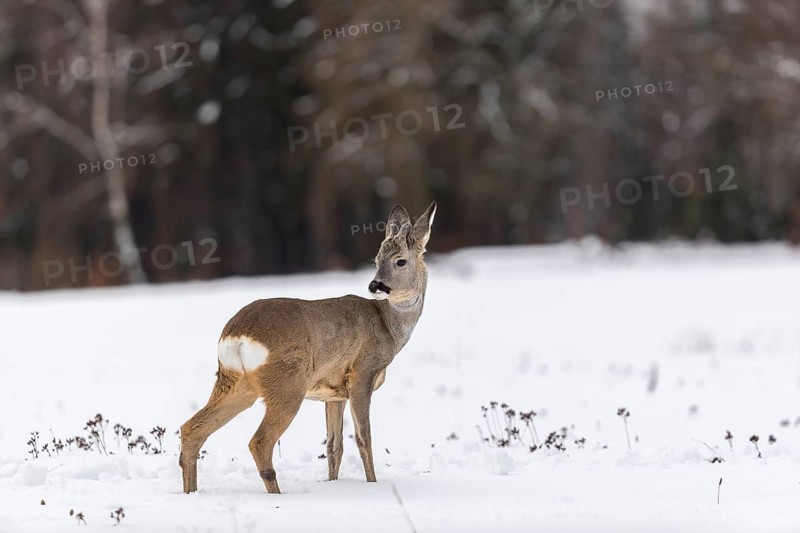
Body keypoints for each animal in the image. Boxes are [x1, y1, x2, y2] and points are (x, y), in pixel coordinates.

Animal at [179, 202, 436, 494]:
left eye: (399, 260)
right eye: (377, 260)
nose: (375, 285)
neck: (389, 327)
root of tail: (236, 335)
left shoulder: (334, 394)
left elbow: (335, 446)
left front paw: (333, 483)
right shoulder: (362, 373)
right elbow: (363, 439)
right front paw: (372, 485)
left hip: (236, 382)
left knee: (191, 429)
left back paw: (190, 493)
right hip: (288, 382)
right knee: (259, 441)